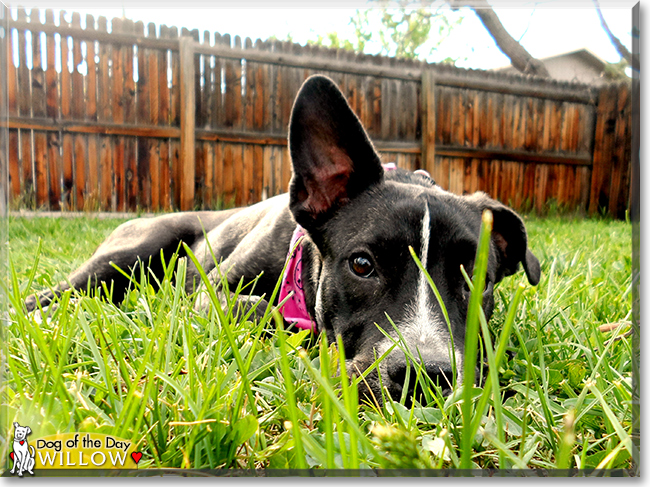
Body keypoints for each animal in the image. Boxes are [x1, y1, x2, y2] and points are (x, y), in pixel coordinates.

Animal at [25, 75, 540, 404]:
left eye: (479, 279)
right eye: (362, 265)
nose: (425, 376)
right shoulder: (212, 294)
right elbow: (265, 311)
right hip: (136, 248)